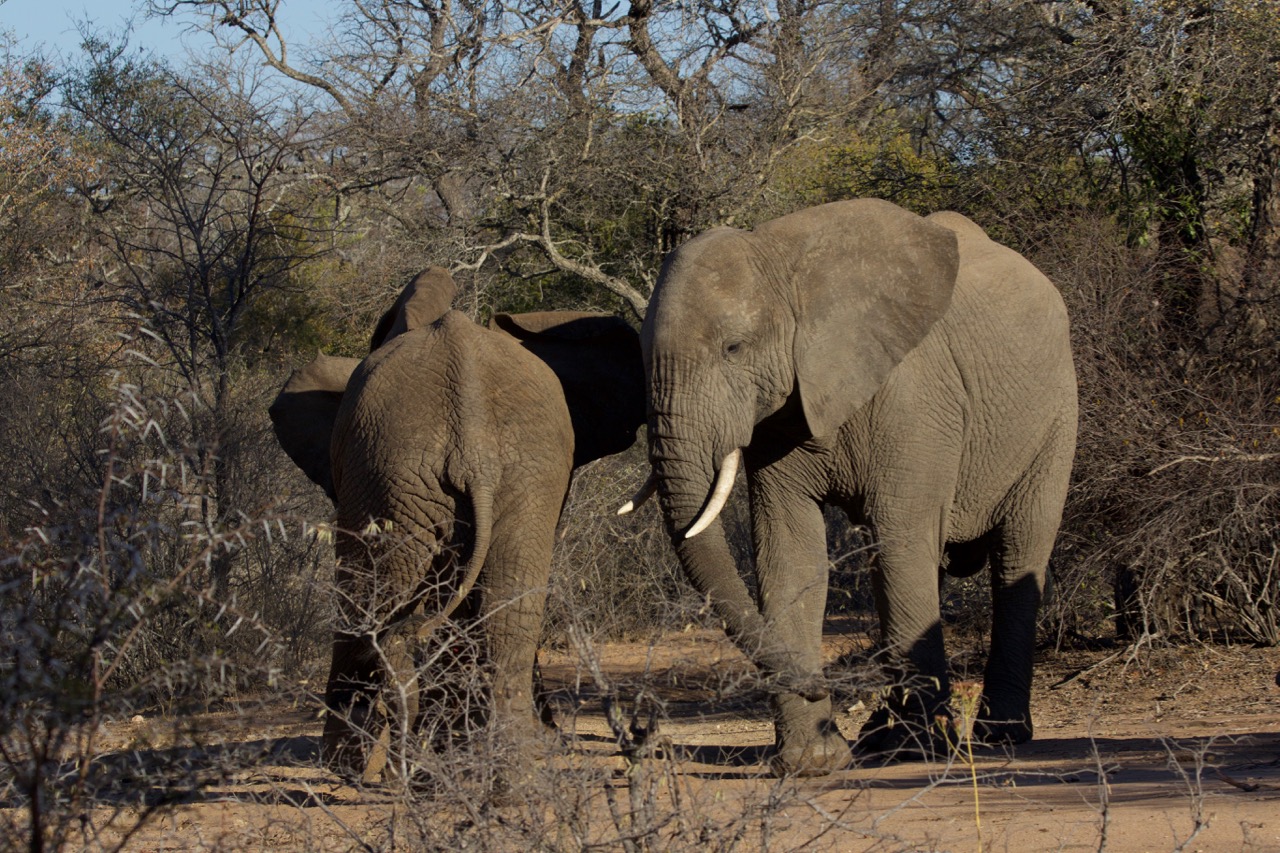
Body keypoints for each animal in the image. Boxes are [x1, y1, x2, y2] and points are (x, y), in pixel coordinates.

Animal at [269, 267, 645, 785]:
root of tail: (475, 444)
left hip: (391, 472)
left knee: (371, 594)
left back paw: (370, 766)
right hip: (512, 475)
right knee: (509, 606)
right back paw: (502, 769)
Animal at [627, 199, 1077, 776]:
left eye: (733, 347)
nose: (822, 688)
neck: (784, 262)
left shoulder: (916, 398)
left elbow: (900, 542)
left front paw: (915, 750)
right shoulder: (778, 415)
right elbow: (791, 554)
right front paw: (813, 761)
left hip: (1055, 417)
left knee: (1015, 554)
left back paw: (995, 735)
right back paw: (879, 737)